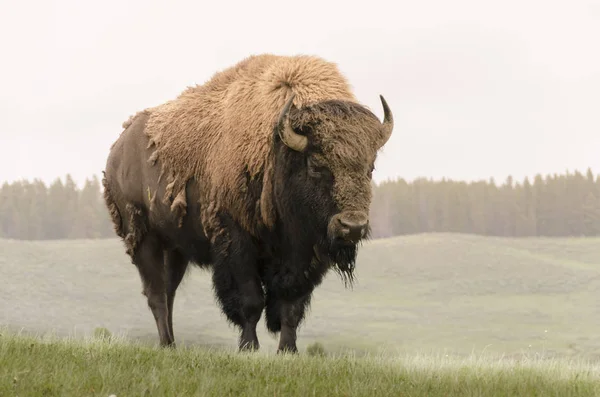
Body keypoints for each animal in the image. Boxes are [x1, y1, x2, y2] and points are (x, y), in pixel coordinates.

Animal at [103, 53, 394, 352]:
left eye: (370, 167)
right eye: (316, 164)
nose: (353, 226)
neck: (277, 150)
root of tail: (117, 151)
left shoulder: (304, 255)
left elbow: (291, 306)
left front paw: (287, 350)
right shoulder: (237, 242)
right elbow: (251, 301)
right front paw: (248, 347)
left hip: (175, 248)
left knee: (169, 291)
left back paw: (171, 344)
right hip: (143, 238)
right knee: (157, 294)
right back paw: (167, 344)